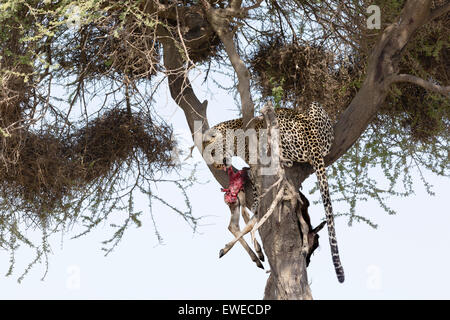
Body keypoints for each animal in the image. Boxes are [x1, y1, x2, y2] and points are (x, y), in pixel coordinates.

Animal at [204, 102, 344, 282]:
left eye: (212, 152)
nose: (218, 167)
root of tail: (311, 136)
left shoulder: (256, 171)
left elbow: (255, 204)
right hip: (316, 110)